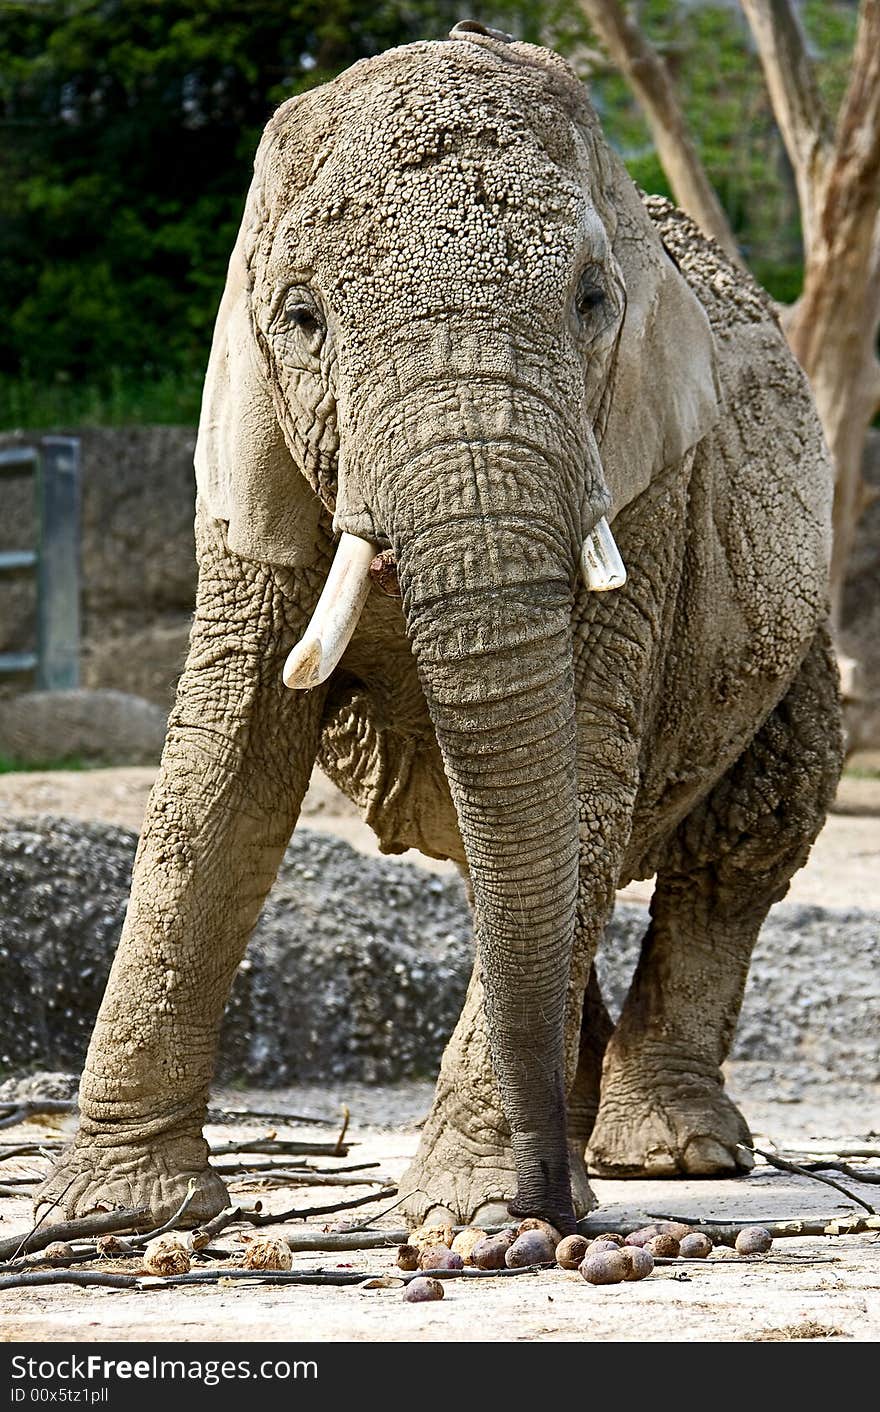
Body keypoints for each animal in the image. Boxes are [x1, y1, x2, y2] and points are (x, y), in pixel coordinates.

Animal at [37, 22, 841, 1236]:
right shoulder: (251, 467)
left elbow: (584, 758)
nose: (547, 1209)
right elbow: (223, 772)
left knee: (739, 839)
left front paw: (472, 1214)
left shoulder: (644, 483)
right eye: (303, 318)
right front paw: (113, 1214)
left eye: (592, 302)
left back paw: (665, 1151)